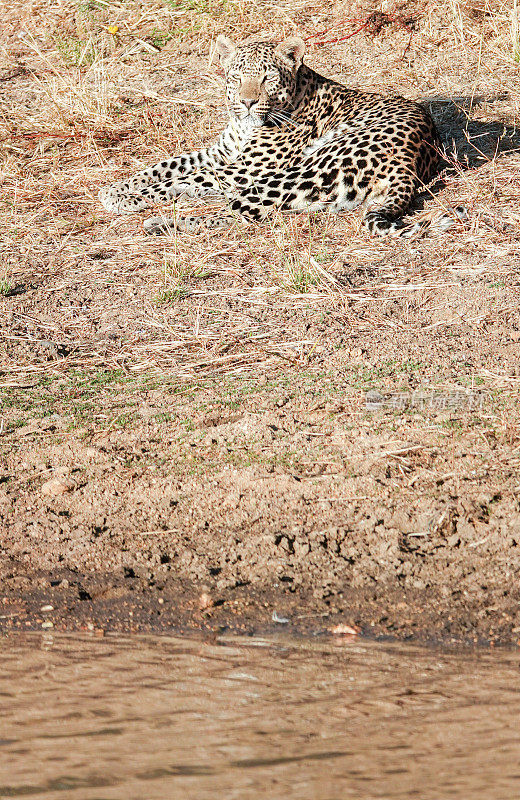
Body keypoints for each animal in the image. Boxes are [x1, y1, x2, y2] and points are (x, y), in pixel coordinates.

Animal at [98, 34, 468, 236]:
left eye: (267, 78)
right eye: (236, 76)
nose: (247, 102)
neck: (245, 125)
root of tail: (412, 162)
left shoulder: (244, 167)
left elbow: (184, 177)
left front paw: (126, 198)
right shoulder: (222, 153)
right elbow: (168, 165)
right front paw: (117, 187)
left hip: (301, 171)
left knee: (240, 214)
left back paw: (161, 223)